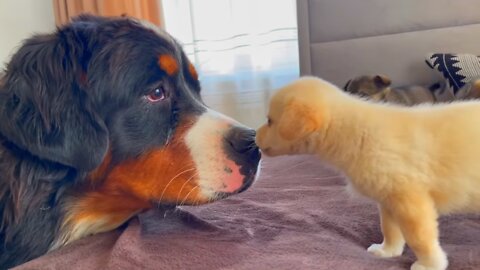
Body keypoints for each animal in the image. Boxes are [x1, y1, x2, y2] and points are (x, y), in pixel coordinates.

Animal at [258, 76, 480, 270]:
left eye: (269, 120)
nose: (254, 137)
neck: (356, 133)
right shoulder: (389, 200)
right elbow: (389, 229)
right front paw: (387, 251)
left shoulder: (410, 201)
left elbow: (419, 237)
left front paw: (430, 264)